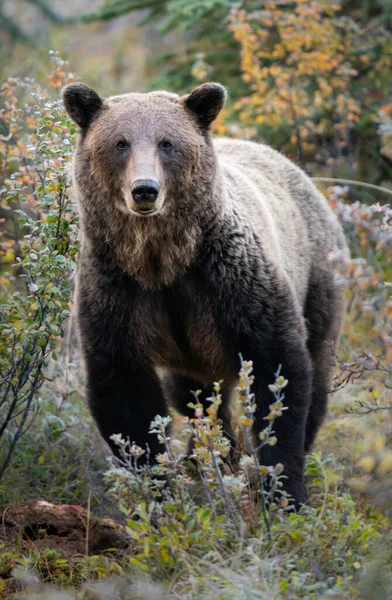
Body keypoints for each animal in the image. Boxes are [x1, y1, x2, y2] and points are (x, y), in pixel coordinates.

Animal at [63, 82, 346, 504]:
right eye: (120, 143)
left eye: (166, 143)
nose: (144, 190)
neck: (163, 261)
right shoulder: (117, 291)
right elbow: (125, 392)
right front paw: (157, 489)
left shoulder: (232, 283)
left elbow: (278, 373)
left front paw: (284, 491)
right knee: (195, 395)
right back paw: (207, 456)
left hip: (318, 277)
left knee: (316, 366)